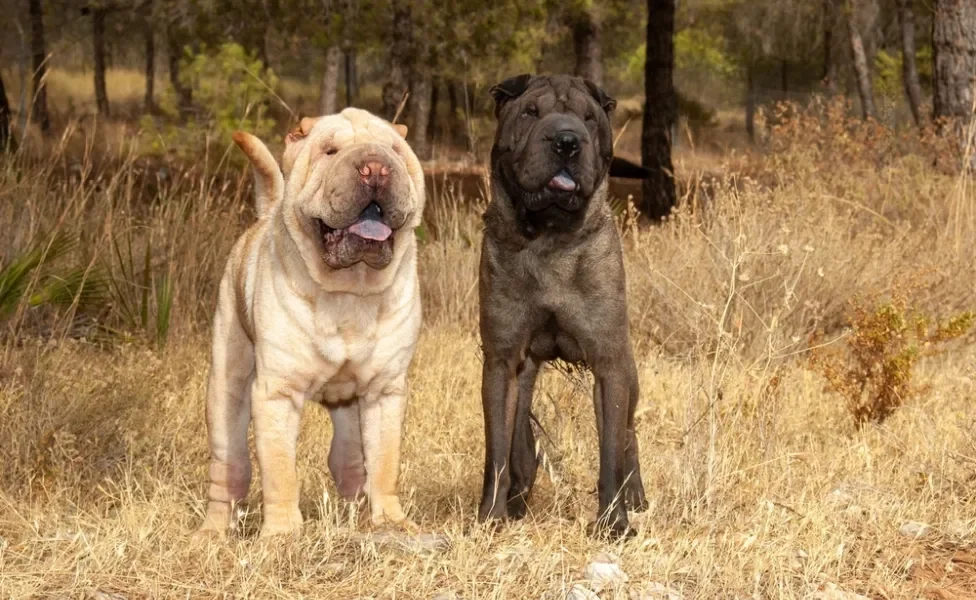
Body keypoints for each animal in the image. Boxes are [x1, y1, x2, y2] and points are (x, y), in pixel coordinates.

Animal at [197, 108, 424, 540]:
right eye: (330, 151)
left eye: (395, 150)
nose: (376, 169)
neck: (348, 291)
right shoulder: (276, 393)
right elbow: (280, 470)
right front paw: (283, 533)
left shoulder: (384, 392)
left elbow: (384, 462)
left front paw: (391, 522)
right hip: (226, 385)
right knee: (228, 466)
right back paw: (213, 531)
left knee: (350, 462)